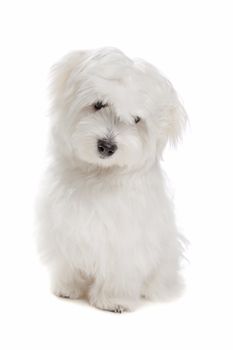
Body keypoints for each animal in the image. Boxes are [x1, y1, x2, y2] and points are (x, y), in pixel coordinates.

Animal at [36, 46, 187, 312]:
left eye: (136, 119)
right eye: (99, 104)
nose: (107, 146)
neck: (100, 174)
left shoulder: (126, 240)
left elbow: (120, 272)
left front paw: (115, 300)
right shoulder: (64, 227)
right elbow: (68, 262)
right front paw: (67, 287)